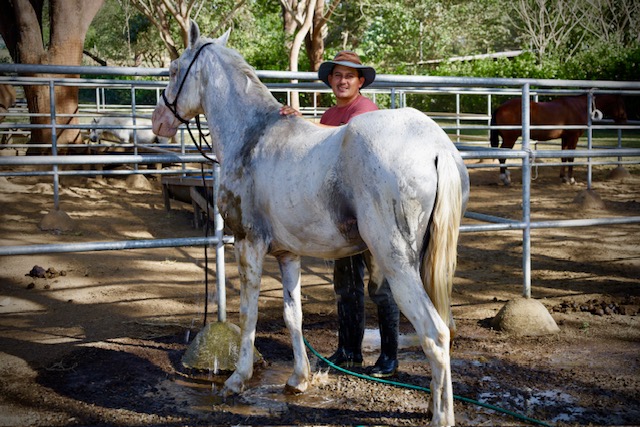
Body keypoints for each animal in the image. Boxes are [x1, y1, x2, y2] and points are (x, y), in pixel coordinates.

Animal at [152, 23, 468, 427]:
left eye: (174, 69)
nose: (158, 121)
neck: (253, 137)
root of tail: (436, 147)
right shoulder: (288, 254)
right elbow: (293, 314)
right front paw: (298, 380)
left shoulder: (248, 242)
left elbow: (249, 312)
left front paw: (237, 380)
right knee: (444, 328)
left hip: (398, 262)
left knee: (435, 333)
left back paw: (440, 415)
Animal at [492, 94, 628, 185]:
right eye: (621, 103)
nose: (624, 120)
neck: (580, 106)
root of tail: (500, 107)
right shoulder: (573, 137)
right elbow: (571, 157)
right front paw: (571, 179)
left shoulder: (565, 138)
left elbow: (564, 157)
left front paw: (563, 178)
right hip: (510, 139)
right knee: (502, 156)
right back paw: (505, 179)